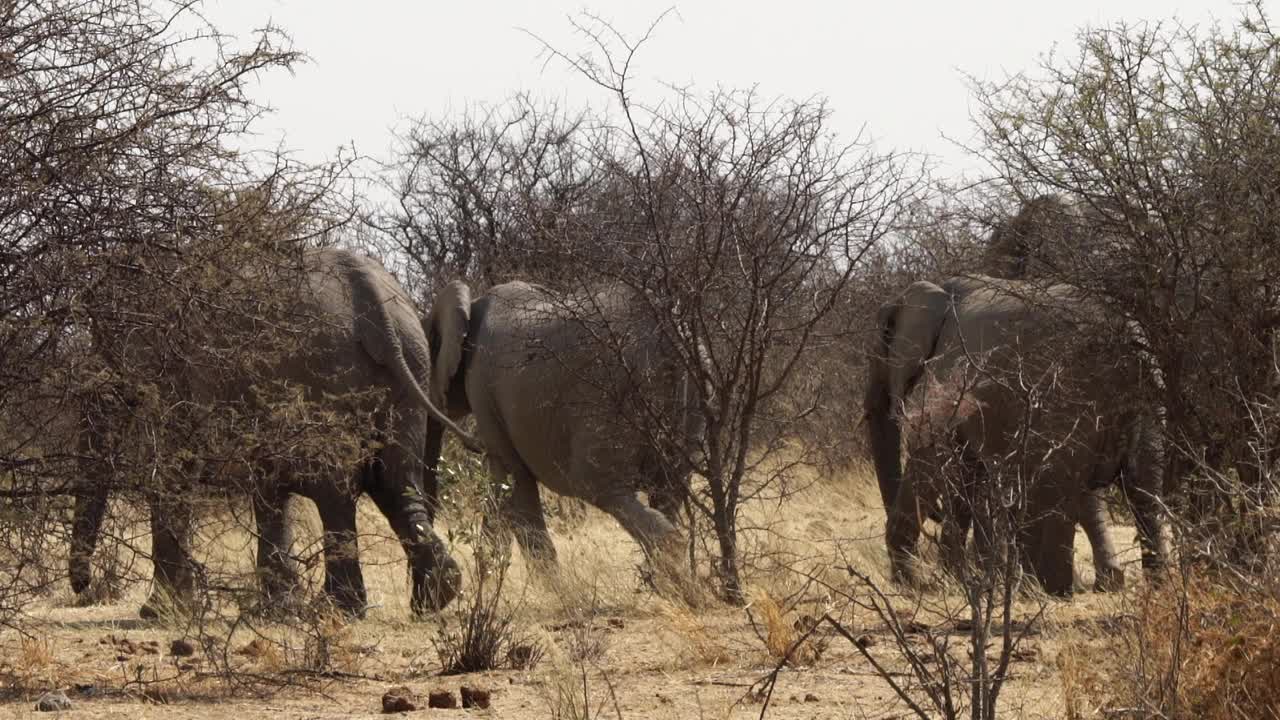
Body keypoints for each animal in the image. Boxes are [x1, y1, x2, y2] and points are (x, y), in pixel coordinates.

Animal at [66, 248, 476, 617]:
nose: (82, 586)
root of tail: (379, 308)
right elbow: (268, 485)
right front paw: (277, 610)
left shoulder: (182, 373)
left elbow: (175, 470)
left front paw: (160, 613)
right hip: (411, 367)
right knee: (394, 480)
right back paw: (432, 599)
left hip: (330, 372)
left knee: (338, 489)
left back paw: (336, 609)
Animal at [422, 278, 701, 579]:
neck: (469, 306)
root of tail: (667, 335)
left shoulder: (483, 390)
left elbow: (513, 483)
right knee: (669, 489)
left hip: (611, 398)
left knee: (599, 485)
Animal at [860, 271, 1172, 591]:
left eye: (877, 355)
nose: (936, 514)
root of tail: (1131, 339)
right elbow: (965, 473)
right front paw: (957, 580)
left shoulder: (945, 377)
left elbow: (932, 460)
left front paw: (911, 586)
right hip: (1149, 404)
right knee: (1143, 490)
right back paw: (1152, 588)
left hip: (1067, 399)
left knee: (1057, 487)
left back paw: (1049, 590)